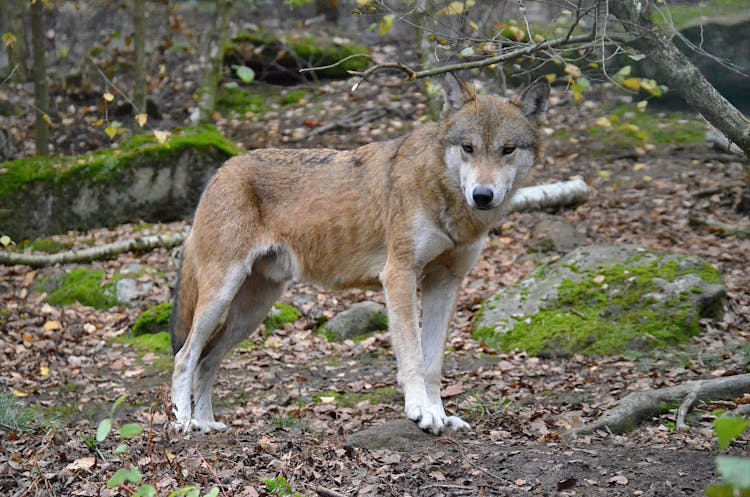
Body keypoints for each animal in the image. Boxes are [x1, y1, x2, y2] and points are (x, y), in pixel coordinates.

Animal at [170, 75, 552, 432]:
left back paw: (206, 424)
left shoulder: (445, 282)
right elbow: (413, 356)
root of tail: (220, 171)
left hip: (253, 311)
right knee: (185, 356)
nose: (482, 195)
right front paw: (421, 411)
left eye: (507, 149)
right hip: (222, 296)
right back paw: (185, 424)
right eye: (469, 147)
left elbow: (433, 364)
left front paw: (441, 415)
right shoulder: (399, 275)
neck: (444, 194)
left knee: (208, 360)